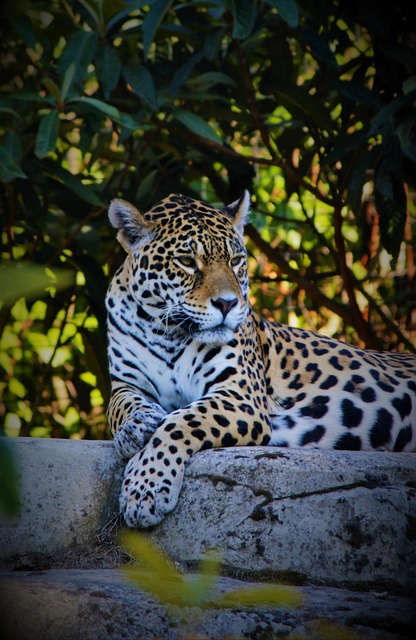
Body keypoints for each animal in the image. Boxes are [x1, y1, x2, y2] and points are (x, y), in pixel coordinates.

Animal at [106, 191, 416, 529]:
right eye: (187, 262)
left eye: (235, 261)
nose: (227, 304)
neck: (167, 332)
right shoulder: (125, 384)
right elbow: (119, 407)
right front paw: (134, 428)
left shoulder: (240, 397)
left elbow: (179, 422)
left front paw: (145, 490)